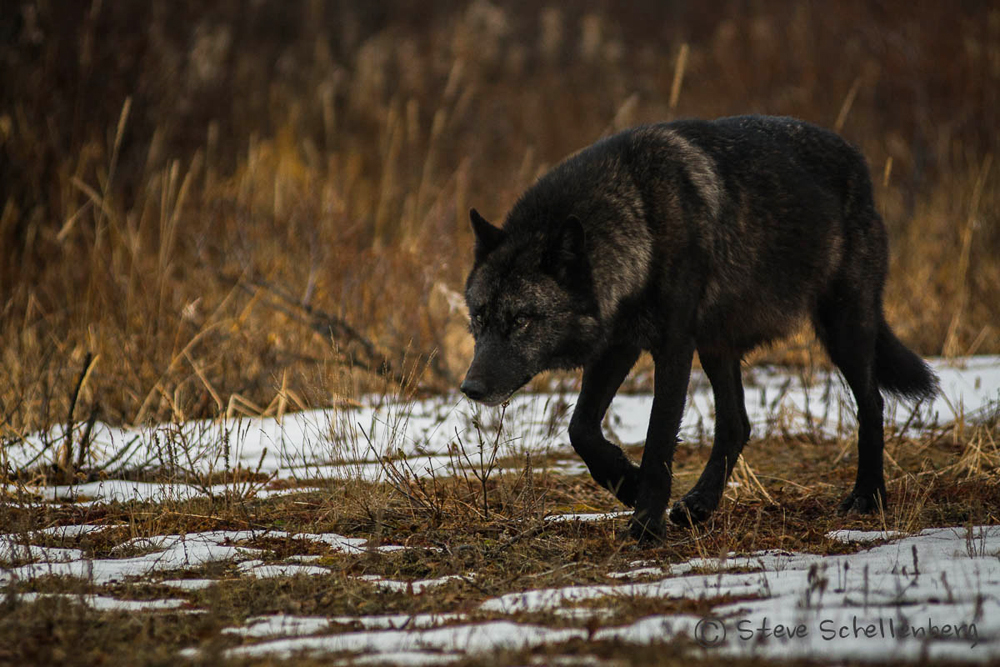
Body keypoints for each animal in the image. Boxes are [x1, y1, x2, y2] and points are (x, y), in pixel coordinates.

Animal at [460, 116, 936, 544]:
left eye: (521, 320)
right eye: (479, 318)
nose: (471, 389)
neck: (640, 218)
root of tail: (856, 159)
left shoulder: (673, 347)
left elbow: (657, 440)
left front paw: (645, 525)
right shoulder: (618, 345)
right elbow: (581, 429)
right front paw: (629, 484)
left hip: (842, 329)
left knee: (872, 404)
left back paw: (868, 497)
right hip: (717, 347)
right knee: (738, 423)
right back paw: (700, 504)